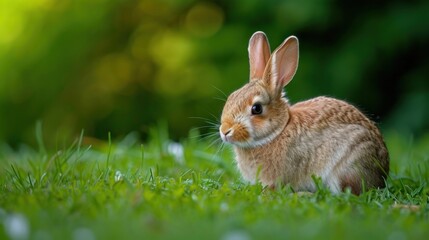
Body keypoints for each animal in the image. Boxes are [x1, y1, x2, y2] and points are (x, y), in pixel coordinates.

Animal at [219, 31, 390, 195]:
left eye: (256, 108)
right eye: (231, 97)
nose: (225, 131)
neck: (277, 132)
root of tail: (382, 172)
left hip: (348, 165)